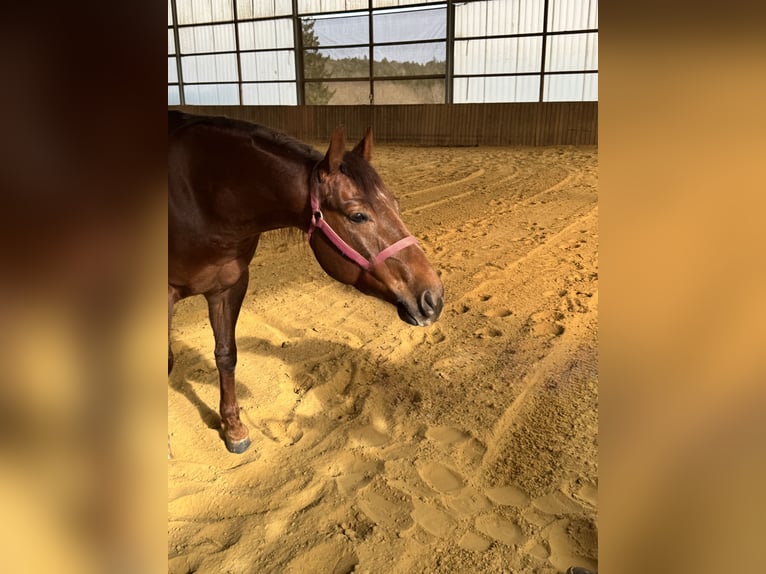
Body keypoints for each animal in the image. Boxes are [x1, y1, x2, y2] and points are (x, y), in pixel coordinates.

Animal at [168, 111, 444, 454]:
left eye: (396, 203)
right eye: (357, 216)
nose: (433, 298)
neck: (202, 195)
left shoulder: (228, 287)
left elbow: (226, 354)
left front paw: (233, 428)